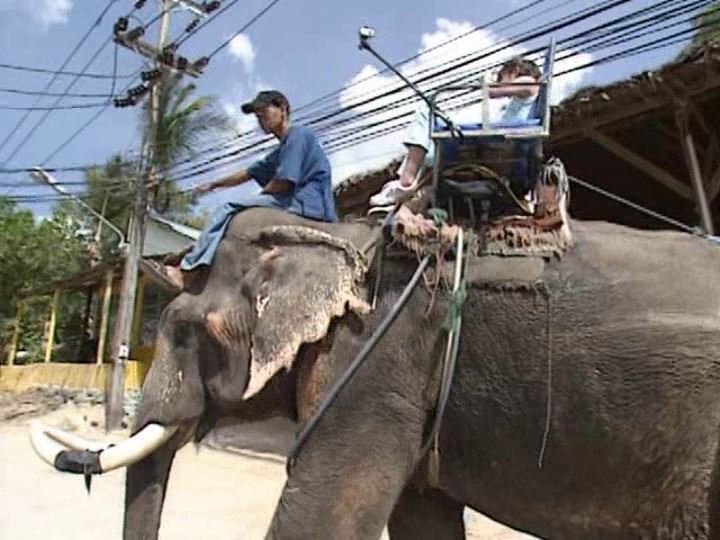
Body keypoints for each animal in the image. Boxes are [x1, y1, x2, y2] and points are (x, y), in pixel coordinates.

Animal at [31, 208, 720, 540]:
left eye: (182, 331)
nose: (78, 460)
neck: (333, 231)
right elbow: (420, 519)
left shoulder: (374, 361)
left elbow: (322, 523)